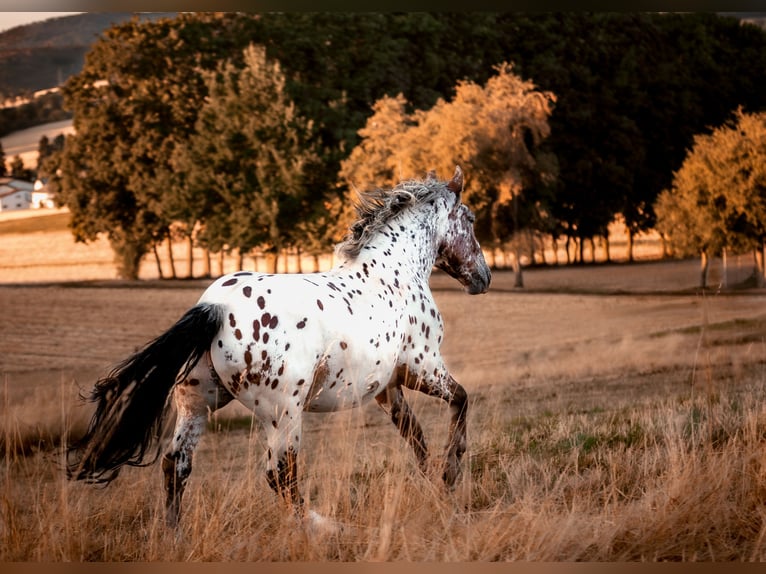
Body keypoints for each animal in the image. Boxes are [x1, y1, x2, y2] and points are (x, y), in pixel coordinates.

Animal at [66, 166, 491, 528]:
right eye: (469, 219)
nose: (482, 278)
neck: (394, 274)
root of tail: (214, 308)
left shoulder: (387, 387)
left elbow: (415, 439)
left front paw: (435, 489)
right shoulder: (423, 367)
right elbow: (460, 400)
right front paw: (450, 475)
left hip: (197, 403)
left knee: (176, 465)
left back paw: (175, 536)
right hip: (283, 412)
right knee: (280, 475)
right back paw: (327, 528)